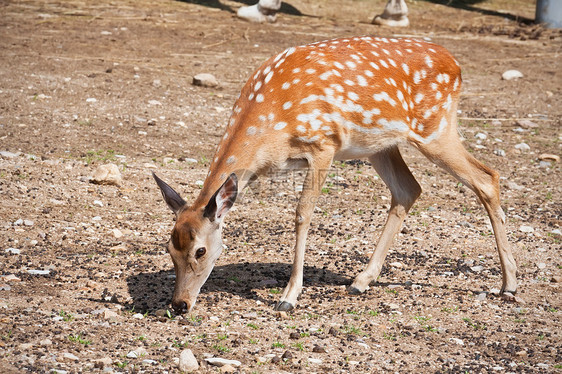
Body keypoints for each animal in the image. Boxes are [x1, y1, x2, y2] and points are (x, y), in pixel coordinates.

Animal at [151, 36, 516, 314]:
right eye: (168, 249)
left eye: (200, 251)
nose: (179, 304)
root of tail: (456, 65)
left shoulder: (322, 144)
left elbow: (303, 213)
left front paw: (289, 297)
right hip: (380, 145)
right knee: (409, 189)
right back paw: (361, 281)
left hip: (435, 129)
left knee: (487, 178)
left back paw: (509, 284)